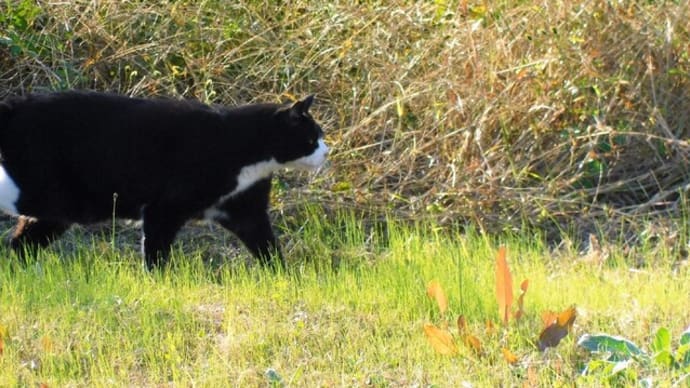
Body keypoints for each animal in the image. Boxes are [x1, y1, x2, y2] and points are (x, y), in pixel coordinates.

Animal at [0, 90, 328, 270]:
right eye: (312, 138)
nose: (328, 151)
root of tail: (13, 107)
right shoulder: (165, 207)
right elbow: (156, 250)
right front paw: (157, 281)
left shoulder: (244, 209)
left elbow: (268, 247)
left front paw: (285, 277)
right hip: (45, 191)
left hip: (58, 210)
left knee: (21, 244)